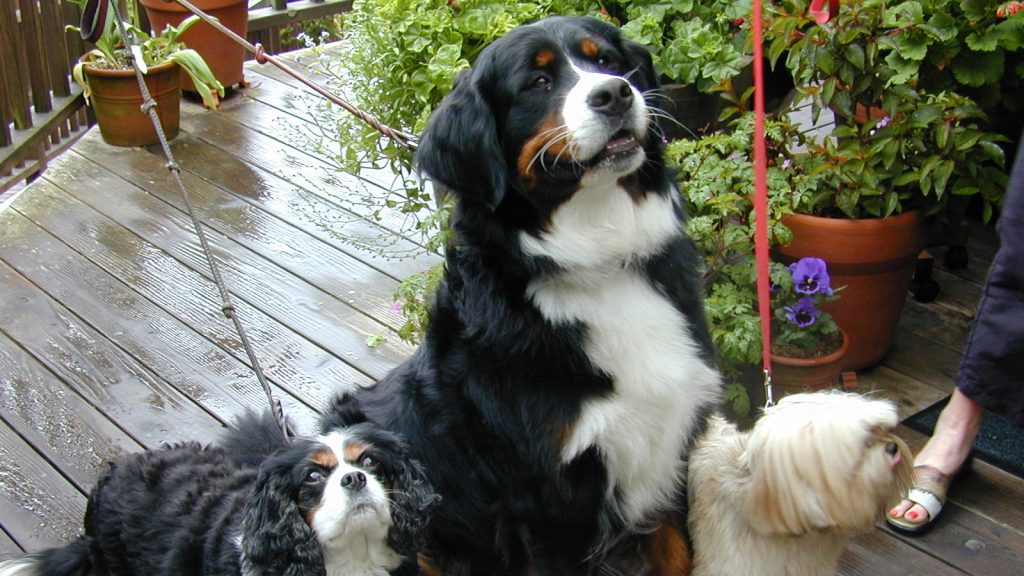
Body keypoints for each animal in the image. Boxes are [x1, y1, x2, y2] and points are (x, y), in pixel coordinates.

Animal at [325, 13, 720, 573]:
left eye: (607, 61)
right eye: (538, 82)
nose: (614, 94)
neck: (597, 259)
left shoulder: (669, 453)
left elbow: (679, 552)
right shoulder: (548, 503)